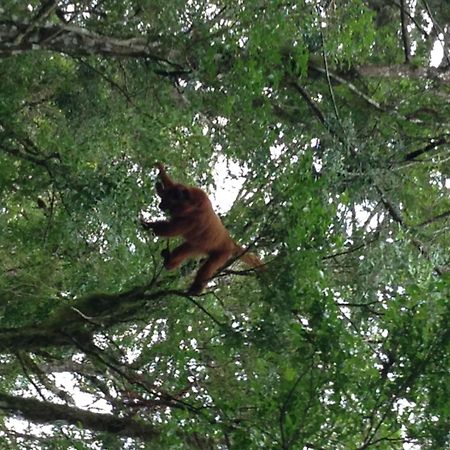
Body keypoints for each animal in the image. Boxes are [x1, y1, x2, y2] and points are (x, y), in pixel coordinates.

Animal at [141, 163, 264, 294]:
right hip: (198, 246)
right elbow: (172, 184)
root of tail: (229, 241)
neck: (193, 202)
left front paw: (145, 225)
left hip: (222, 253)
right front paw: (161, 172)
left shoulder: (195, 217)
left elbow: (171, 230)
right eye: (163, 199)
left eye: (166, 201)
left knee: (206, 269)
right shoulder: (194, 192)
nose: (160, 205)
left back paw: (196, 289)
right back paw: (169, 262)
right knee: (184, 249)